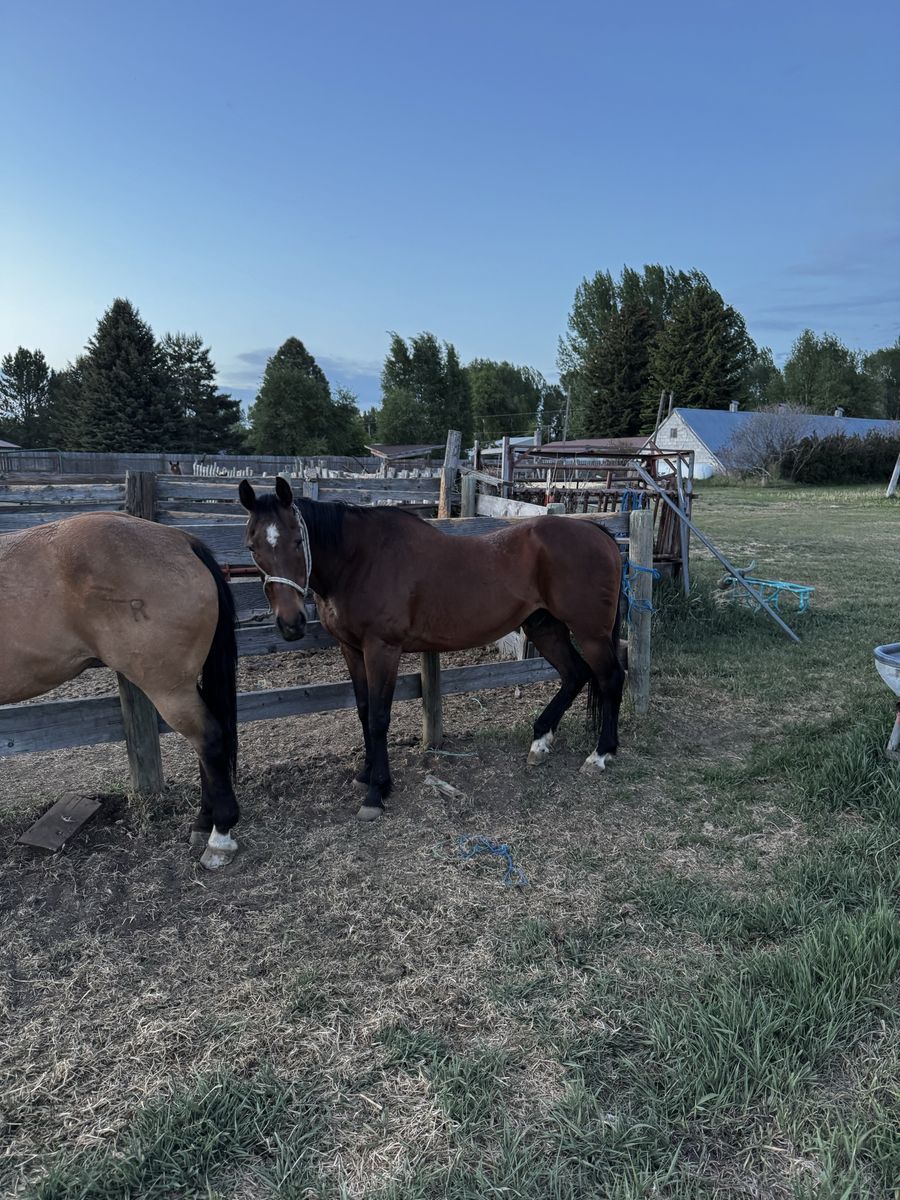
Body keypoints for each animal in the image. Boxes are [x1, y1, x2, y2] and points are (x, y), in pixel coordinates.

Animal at [239, 476, 624, 821]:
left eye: (297, 539)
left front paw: (376, 792)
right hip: (545, 627)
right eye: (252, 547)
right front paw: (366, 774)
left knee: (610, 679)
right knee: (574, 674)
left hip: (590, 633)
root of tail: (597, 532)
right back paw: (541, 741)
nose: (291, 623)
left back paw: (600, 755)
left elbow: (379, 717)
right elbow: (363, 711)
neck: (360, 560)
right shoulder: (351, 648)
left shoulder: (382, 649)